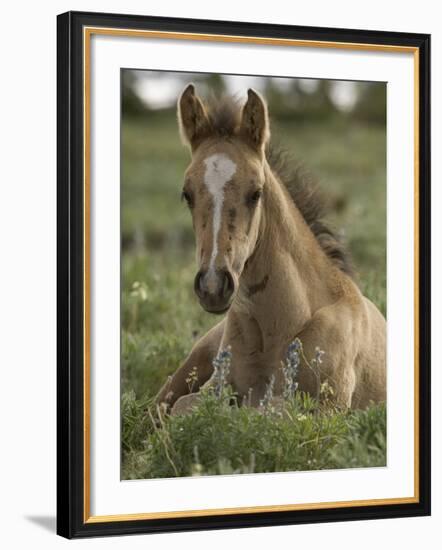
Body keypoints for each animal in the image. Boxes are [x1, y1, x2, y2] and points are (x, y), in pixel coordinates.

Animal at [157, 85, 386, 414]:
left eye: (256, 192)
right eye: (186, 194)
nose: (213, 286)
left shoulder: (328, 408)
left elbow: (269, 411)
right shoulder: (214, 387)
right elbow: (184, 408)